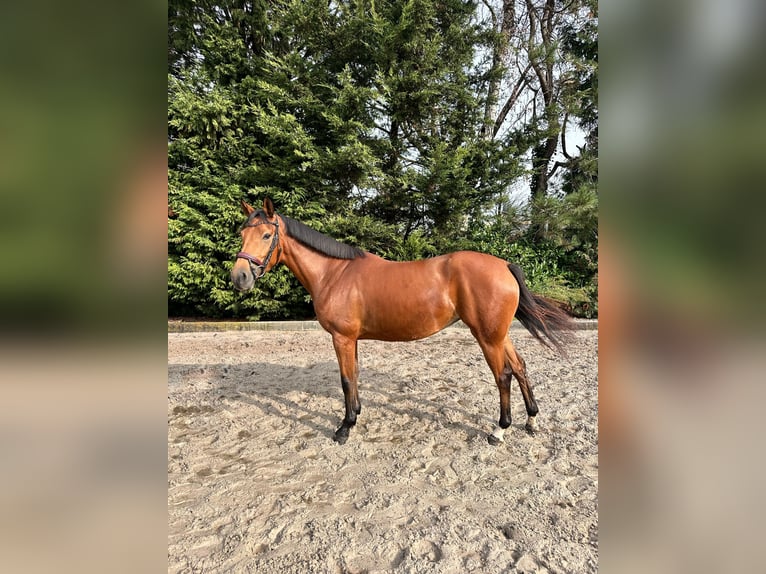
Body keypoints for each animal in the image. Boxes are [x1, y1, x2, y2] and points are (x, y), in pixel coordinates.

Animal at [231, 198, 575, 445]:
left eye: (266, 235)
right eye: (242, 234)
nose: (239, 277)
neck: (335, 273)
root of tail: (503, 264)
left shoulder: (341, 338)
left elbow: (345, 380)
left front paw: (345, 428)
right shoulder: (352, 339)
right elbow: (355, 376)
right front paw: (356, 414)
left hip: (487, 337)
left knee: (503, 375)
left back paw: (499, 430)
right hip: (500, 334)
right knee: (520, 367)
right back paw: (531, 420)